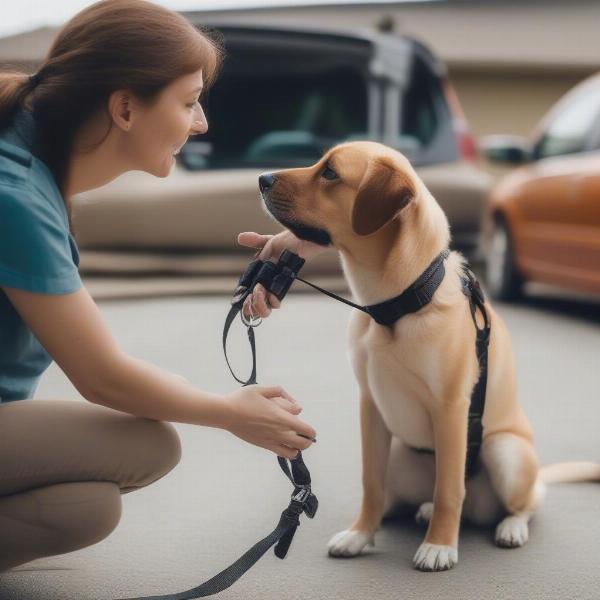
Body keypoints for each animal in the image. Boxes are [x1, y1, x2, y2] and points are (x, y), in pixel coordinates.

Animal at [256, 141, 600, 572]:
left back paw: (509, 527)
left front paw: (439, 546)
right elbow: (371, 483)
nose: (262, 179)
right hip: (400, 457)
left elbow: (450, 488)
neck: (395, 306)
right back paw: (422, 511)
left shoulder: (450, 407)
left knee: (524, 501)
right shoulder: (370, 407)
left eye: (331, 173)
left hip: (504, 452)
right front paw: (360, 535)